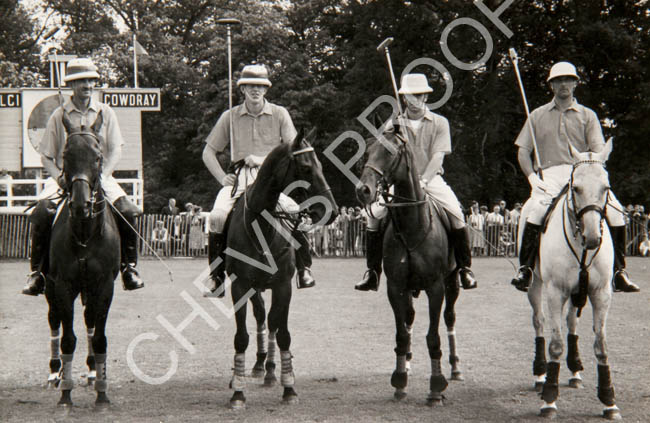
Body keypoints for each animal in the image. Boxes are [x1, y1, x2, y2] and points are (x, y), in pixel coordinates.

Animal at [46, 111, 121, 410]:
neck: (85, 234)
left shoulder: (104, 287)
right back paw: (54, 373)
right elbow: (67, 339)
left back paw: (91, 371)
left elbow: (99, 338)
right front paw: (66, 394)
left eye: (98, 156)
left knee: (89, 321)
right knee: (54, 320)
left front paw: (102, 393)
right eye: (66, 155)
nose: (80, 205)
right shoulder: (63, 286)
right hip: (49, 288)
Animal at [223, 130, 336, 410]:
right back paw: (257, 365)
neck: (262, 227)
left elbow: (283, 333)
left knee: (272, 321)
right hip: (255, 288)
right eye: (306, 168)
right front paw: (238, 391)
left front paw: (289, 388)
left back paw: (271, 370)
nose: (332, 211)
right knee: (261, 316)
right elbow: (241, 336)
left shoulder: (283, 285)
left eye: (320, 165)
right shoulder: (240, 286)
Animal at [354, 134, 460, 406]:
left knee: (449, 318)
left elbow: (433, 336)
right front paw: (400, 380)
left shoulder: (435, 288)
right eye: (367, 152)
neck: (413, 225)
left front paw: (436, 387)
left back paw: (455, 368)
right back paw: (409, 364)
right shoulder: (395, 287)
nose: (363, 190)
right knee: (410, 318)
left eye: (390, 153)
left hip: (452, 282)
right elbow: (401, 334)